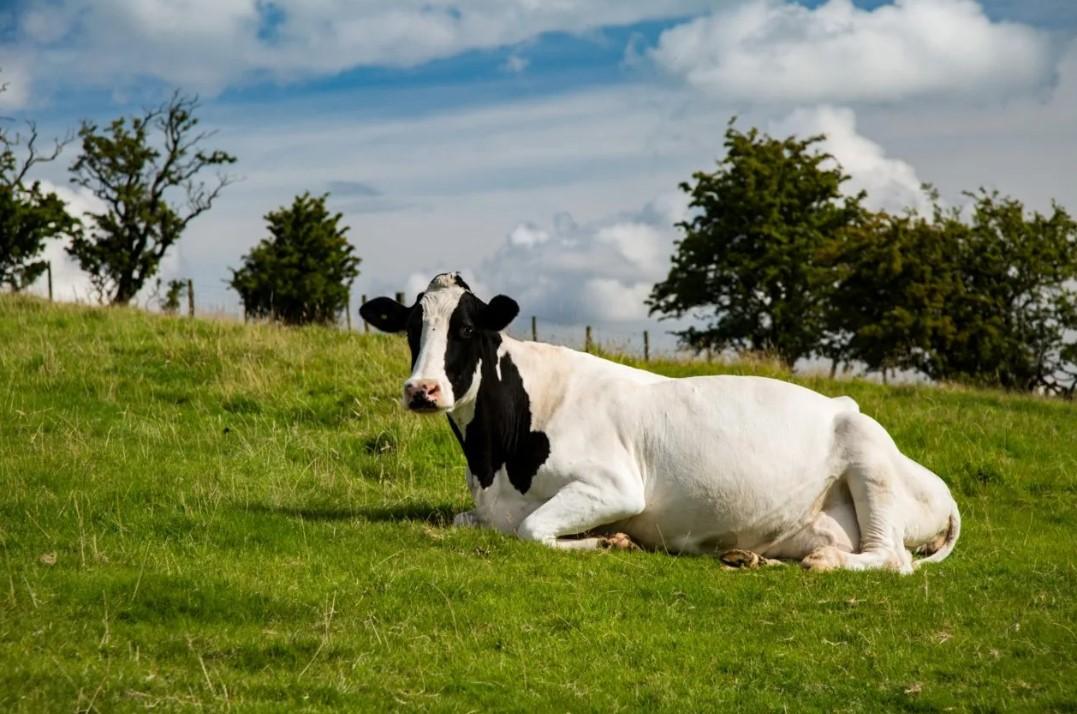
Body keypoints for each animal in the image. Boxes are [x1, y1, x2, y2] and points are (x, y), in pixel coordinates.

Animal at [359, 273, 960, 577]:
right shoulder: (485, 507)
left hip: (869, 455)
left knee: (892, 559)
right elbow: (468, 521)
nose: (422, 390)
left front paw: (608, 542)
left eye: (465, 328)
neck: (495, 463)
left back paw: (826, 562)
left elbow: (533, 530)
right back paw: (747, 556)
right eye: (412, 328)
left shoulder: (616, 486)